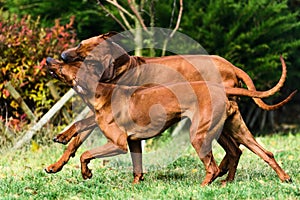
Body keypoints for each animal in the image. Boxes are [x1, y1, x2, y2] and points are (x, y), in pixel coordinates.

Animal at [45, 57, 292, 185]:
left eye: (62, 64)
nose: (48, 59)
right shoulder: (134, 141)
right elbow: (137, 169)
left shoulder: (118, 143)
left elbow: (85, 153)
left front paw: (85, 173)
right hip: (237, 129)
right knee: (262, 153)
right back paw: (284, 178)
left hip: (199, 135)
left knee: (214, 166)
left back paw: (204, 187)